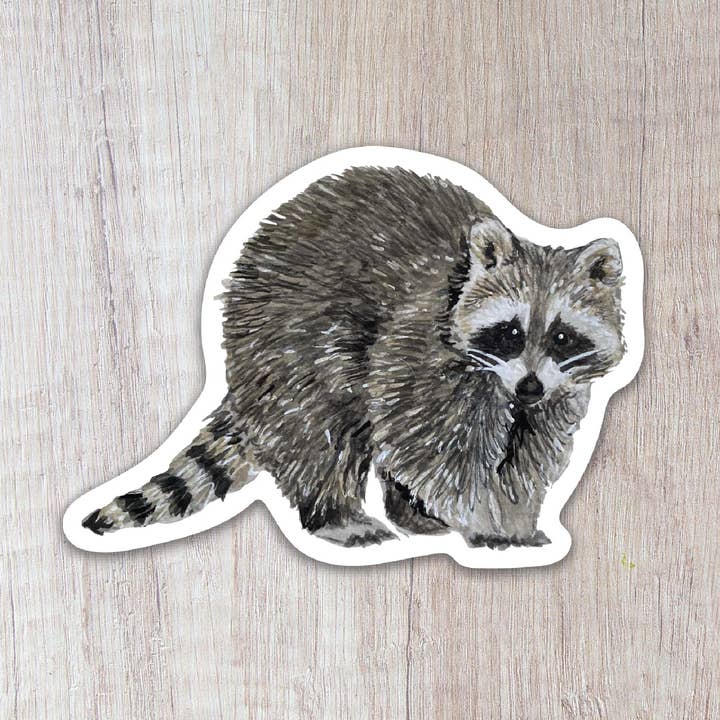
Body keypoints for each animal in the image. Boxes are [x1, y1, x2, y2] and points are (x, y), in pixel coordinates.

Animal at [82, 166, 625, 549]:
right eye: (510, 331)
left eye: (562, 337)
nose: (530, 386)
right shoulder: (421, 353)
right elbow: (436, 450)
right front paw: (481, 518)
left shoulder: (554, 394)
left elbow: (527, 454)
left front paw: (515, 517)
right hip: (290, 343)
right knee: (318, 431)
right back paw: (337, 515)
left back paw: (411, 514)